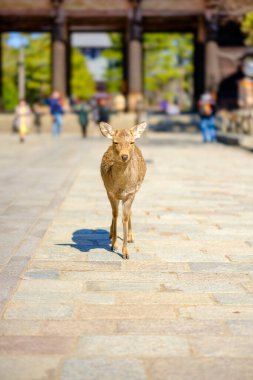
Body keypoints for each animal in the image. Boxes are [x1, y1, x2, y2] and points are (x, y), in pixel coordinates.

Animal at [99, 123, 146, 260]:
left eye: (131, 142)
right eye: (115, 142)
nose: (124, 156)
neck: (121, 186)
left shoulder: (130, 194)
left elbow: (124, 217)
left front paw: (125, 252)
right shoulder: (110, 193)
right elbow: (115, 214)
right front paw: (114, 245)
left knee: (130, 212)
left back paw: (131, 237)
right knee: (115, 213)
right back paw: (110, 234)